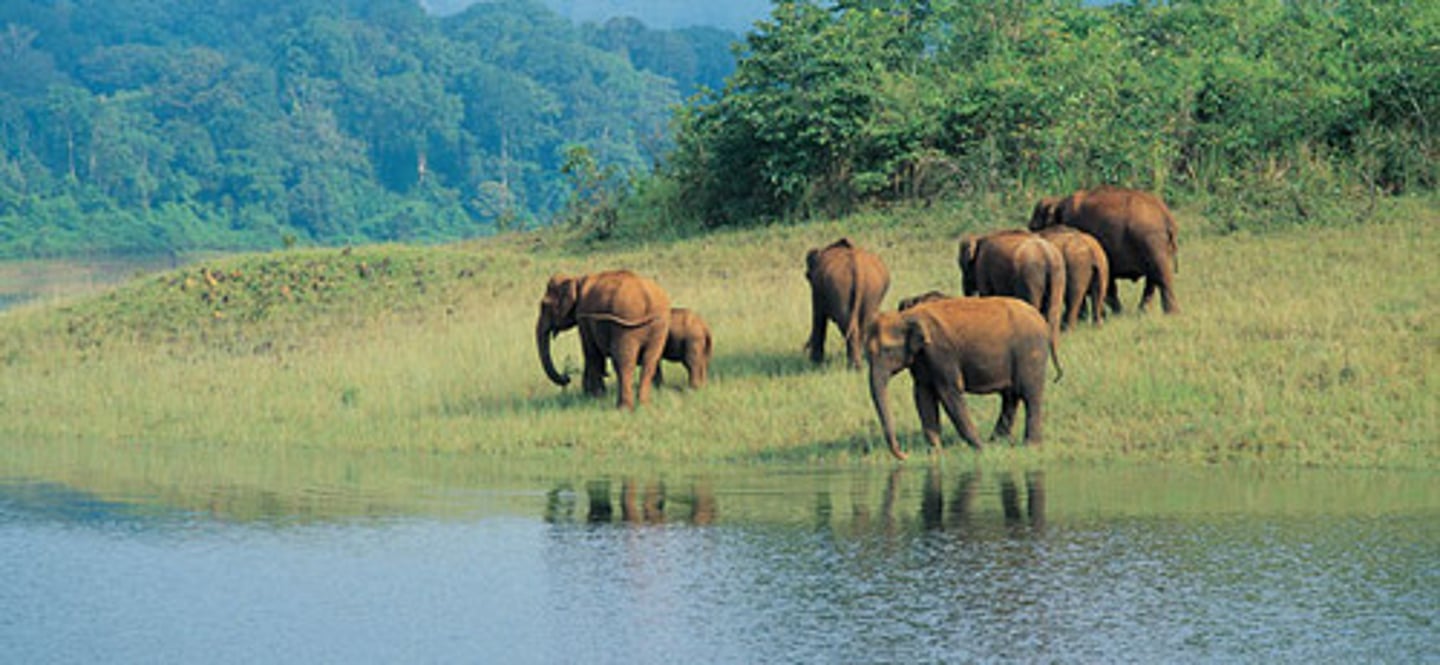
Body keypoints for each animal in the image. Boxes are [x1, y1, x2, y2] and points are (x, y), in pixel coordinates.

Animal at [536, 270, 671, 410]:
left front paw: (596, 397)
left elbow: (590, 351)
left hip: (626, 325)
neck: (577, 279)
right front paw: (593, 395)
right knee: (650, 361)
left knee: (623, 362)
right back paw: (644, 406)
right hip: (660, 326)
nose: (567, 377)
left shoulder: (583, 315)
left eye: (543, 305)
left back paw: (623, 408)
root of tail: (647, 298)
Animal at [805, 237, 891, 369]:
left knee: (846, 323)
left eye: (807, 276)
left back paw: (854, 366)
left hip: (840, 287)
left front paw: (815, 363)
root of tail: (858, 266)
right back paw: (859, 364)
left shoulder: (817, 290)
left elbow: (818, 317)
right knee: (864, 325)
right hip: (872, 289)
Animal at [864, 295, 1061, 461]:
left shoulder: (940, 352)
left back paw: (1030, 446)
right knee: (1011, 396)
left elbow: (949, 392)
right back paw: (997, 442)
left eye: (887, 350)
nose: (904, 455)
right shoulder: (921, 359)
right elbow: (922, 394)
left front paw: (981, 450)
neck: (905, 316)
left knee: (1029, 395)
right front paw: (936, 454)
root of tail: (1042, 321)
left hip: (1031, 352)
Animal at [1029, 185, 1179, 314]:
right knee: (1153, 278)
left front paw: (1115, 313)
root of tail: (1167, 216)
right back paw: (1143, 312)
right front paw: (1117, 313)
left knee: (1162, 276)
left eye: (1034, 227)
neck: (1059, 202)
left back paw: (1171, 314)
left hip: (1152, 242)